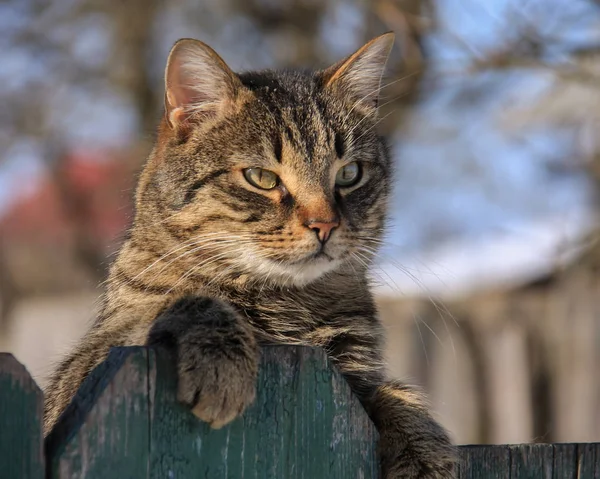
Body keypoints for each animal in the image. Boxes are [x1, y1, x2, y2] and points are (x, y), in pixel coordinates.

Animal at [43, 31, 454, 478]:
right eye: (262, 178)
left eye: (349, 174)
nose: (324, 225)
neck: (283, 302)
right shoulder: (83, 373)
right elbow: (186, 303)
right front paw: (221, 357)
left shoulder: (355, 373)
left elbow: (395, 393)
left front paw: (423, 447)